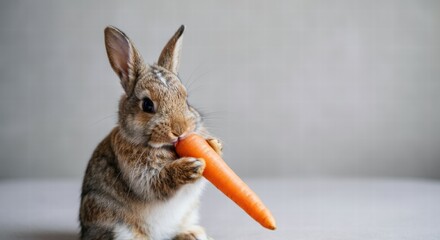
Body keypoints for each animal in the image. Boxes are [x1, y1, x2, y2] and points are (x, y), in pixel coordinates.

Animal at [79, 24, 222, 240]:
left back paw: (192, 234)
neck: (169, 148)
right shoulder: (141, 174)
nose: (180, 130)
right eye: (147, 105)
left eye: (186, 99)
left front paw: (213, 146)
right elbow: (157, 182)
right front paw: (190, 167)